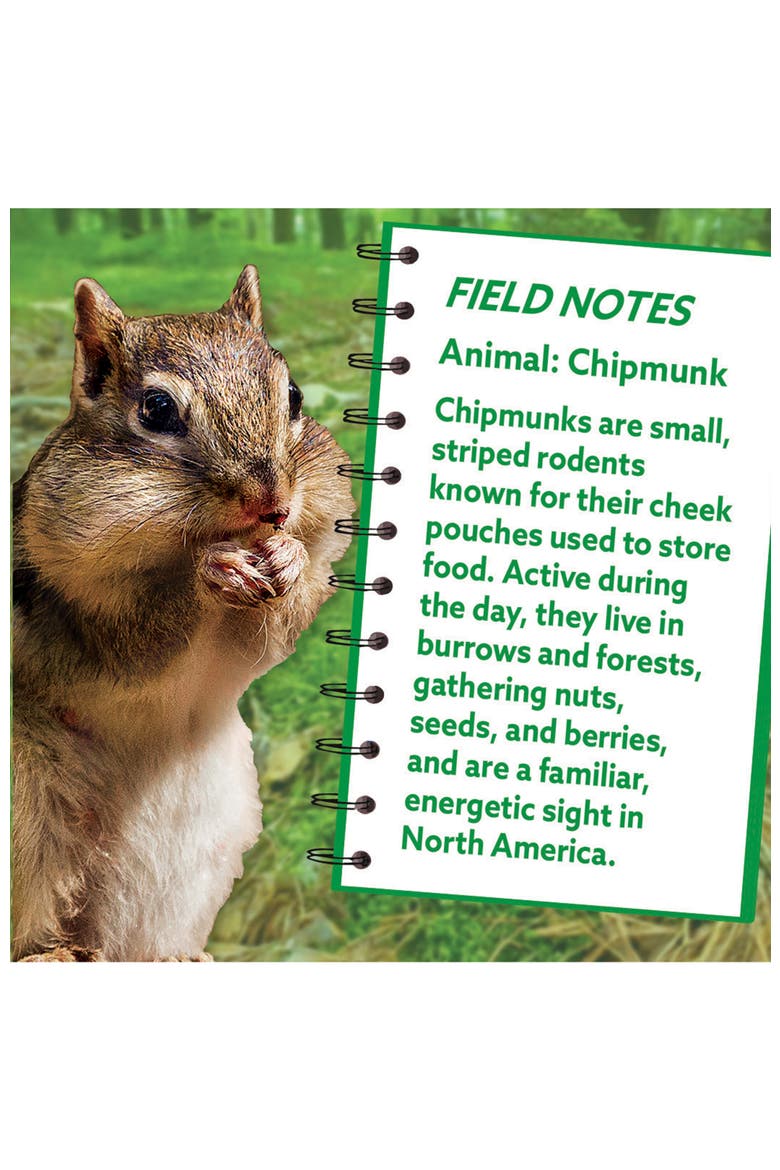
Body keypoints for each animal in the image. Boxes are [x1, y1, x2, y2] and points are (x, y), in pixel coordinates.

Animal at [12, 266, 354, 961]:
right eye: (157, 410)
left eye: (294, 396)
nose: (273, 505)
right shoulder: (77, 613)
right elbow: (135, 645)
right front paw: (211, 570)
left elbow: (273, 636)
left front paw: (287, 557)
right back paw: (51, 950)